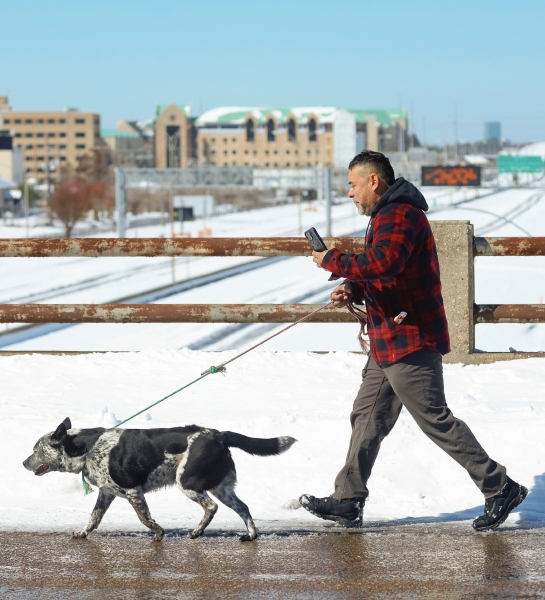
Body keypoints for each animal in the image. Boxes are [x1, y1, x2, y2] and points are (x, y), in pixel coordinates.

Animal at [22, 420, 294, 540]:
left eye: (36, 450)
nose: (23, 463)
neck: (86, 448)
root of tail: (218, 435)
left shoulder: (133, 492)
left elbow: (145, 519)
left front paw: (159, 533)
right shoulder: (106, 494)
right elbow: (93, 518)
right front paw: (82, 532)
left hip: (189, 483)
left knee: (211, 507)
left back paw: (196, 532)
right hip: (221, 488)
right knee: (243, 507)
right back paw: (251, 535)